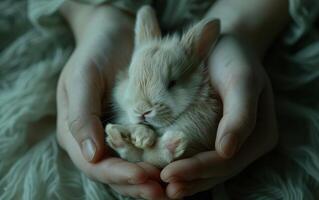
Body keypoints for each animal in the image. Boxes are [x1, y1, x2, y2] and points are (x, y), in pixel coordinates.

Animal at [105, 5, 222, 167]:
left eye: (172, 83)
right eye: (130, 77)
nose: (142, 111)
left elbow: (150, 156)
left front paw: (143, 139)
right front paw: (140, 137)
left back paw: (175, 142)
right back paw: (116, 135)